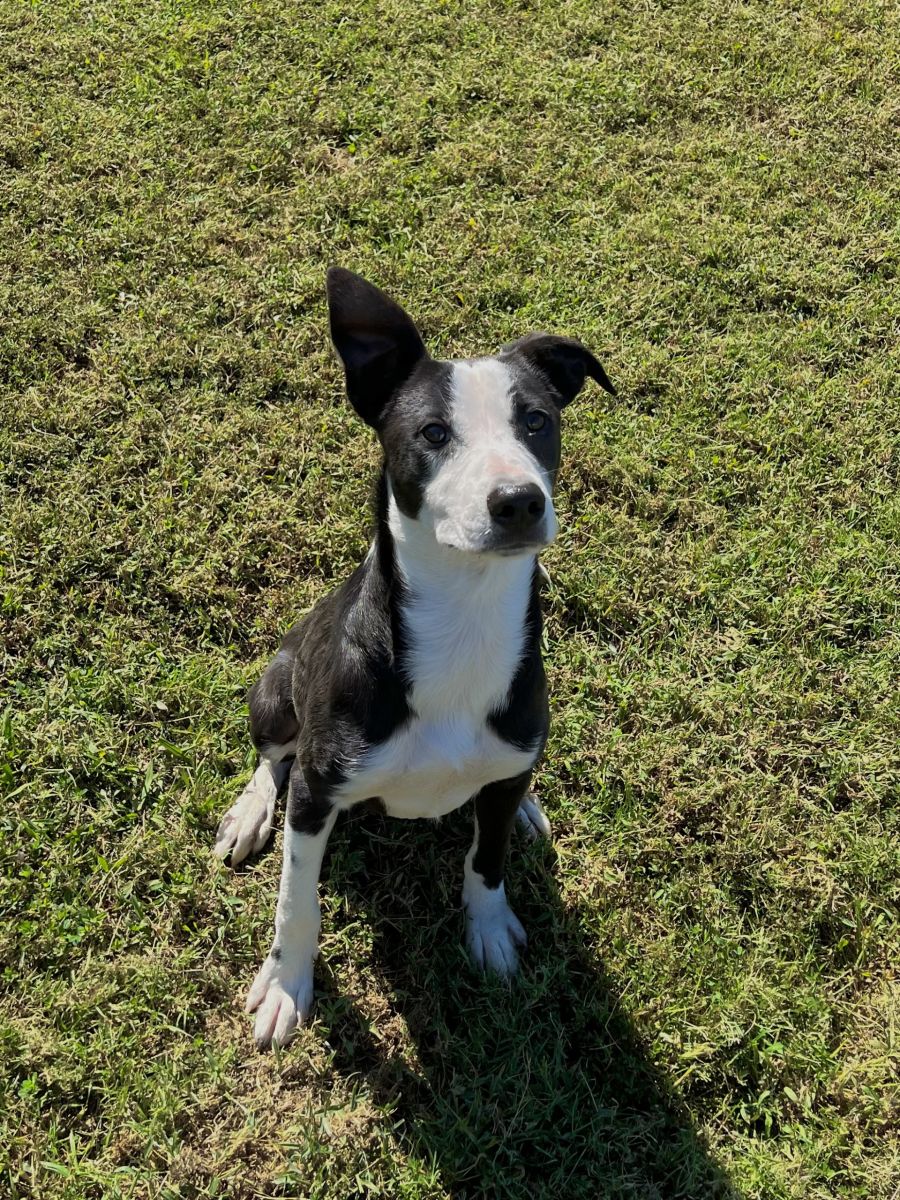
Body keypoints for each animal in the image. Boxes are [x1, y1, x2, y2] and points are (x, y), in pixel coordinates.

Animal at [214, 267, 619, 1046]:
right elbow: (296, 900)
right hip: (275, 687)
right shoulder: (318, 792)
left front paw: (488, 926)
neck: (464, 616)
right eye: (433, 433)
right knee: (273, 757)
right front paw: (284, 984)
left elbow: (486, 858)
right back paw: (250, 811)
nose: (518, 501)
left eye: (536, 422)